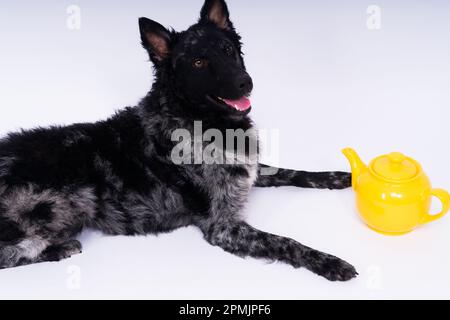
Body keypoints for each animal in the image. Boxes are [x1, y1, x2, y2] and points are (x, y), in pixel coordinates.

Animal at [0, 0, 358, 280]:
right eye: (198, 62)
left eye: (228, 50)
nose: (246, 82)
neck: (198, 120)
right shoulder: (223, 226)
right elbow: (285, 241)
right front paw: (329, 262)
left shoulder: (248, 171)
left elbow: (288, 171)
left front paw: (339, 177)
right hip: (67, 203)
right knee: (10, 254)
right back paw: (60, 249)